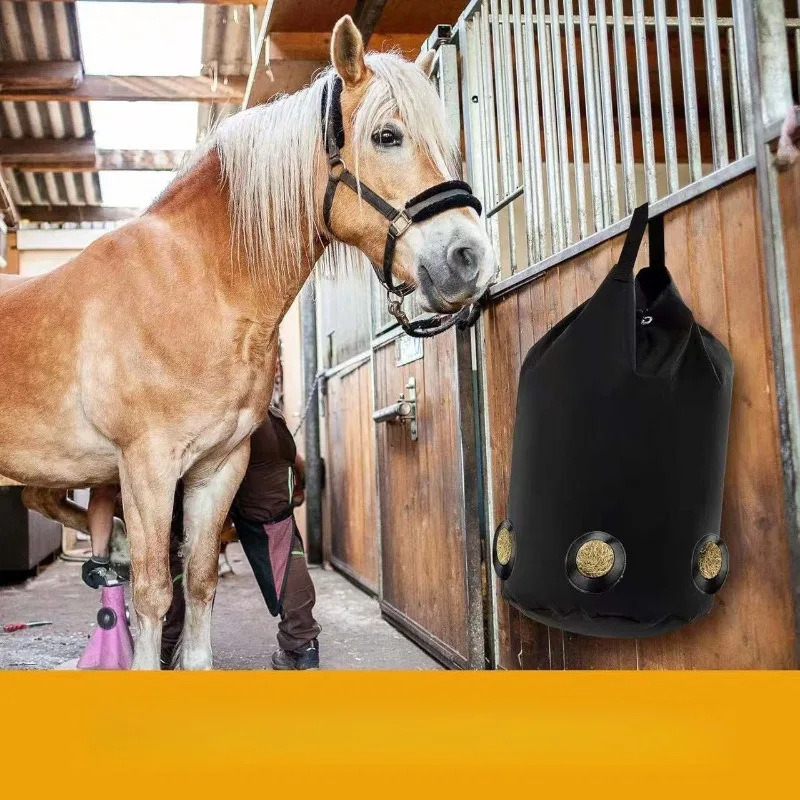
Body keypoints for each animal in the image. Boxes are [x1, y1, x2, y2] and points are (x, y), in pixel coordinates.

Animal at [0, 16, 495, 669]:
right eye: (386, 136)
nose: (471, 259)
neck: (193, 282)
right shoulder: (147, 467)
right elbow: (153, 591)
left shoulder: (217, 468)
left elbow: (200, 577)